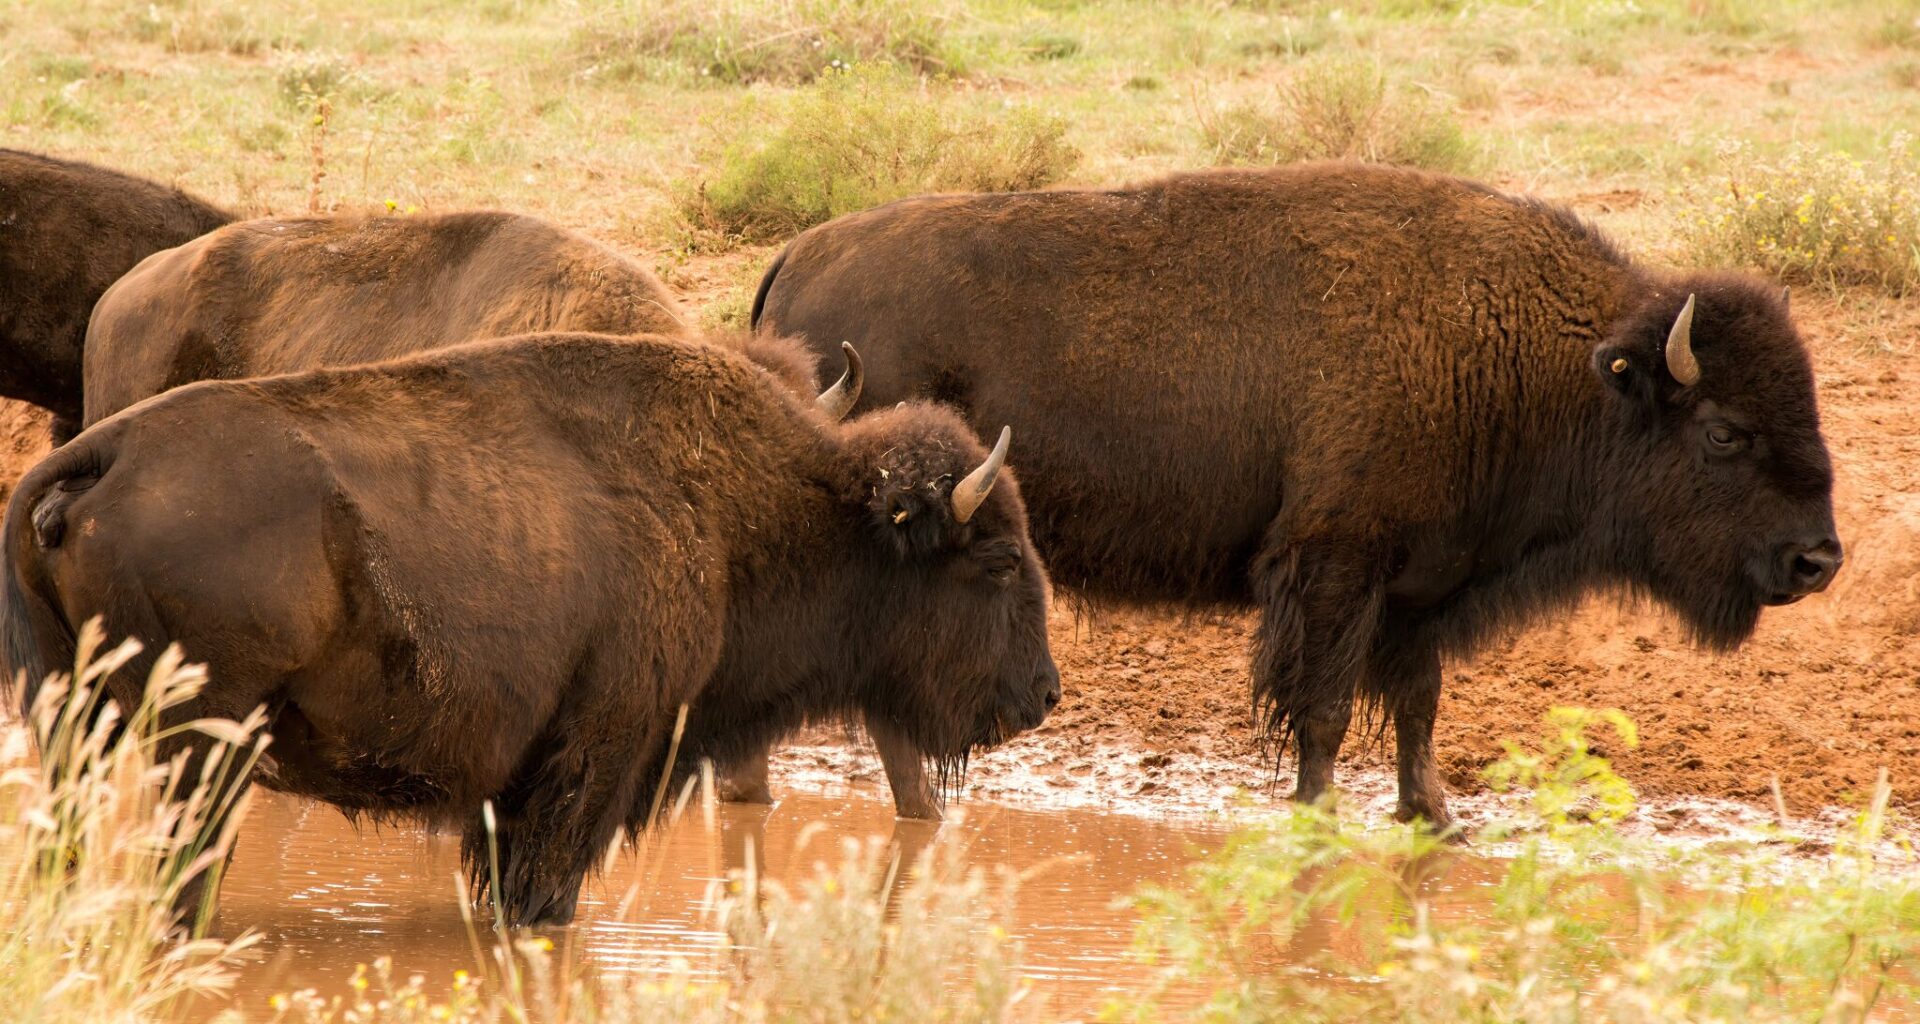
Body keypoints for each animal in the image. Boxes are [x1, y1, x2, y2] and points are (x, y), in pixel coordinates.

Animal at [3, 331, 1057, 926]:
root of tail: (102, 451)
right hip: (201, 744)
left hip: (71, 723)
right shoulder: (594, 758)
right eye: (999, 560)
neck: (747, 517)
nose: (1043, 693)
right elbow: (545, 896)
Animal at [753, 161, 1842, 829]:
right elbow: (1323, 706)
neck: (1539, 360)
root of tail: (797, 258)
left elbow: (1416, 703)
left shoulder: (1418, 590)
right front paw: (1319, 817)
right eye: (1725, 431)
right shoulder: (1334, 570)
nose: (1817, 558)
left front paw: (1435, 819)